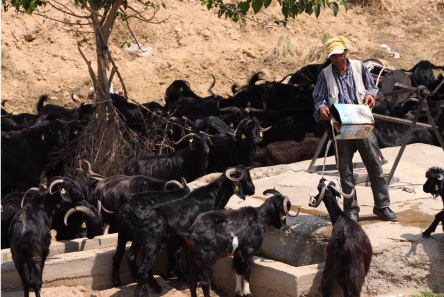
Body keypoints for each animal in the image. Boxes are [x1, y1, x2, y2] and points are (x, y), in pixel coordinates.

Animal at [130, 166, 255, 296]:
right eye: (245, 177)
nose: (253, 189)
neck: (213, 197)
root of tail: (139, 218)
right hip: (153, 246)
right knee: (143, 272)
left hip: (143, 244)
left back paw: (156, 287)